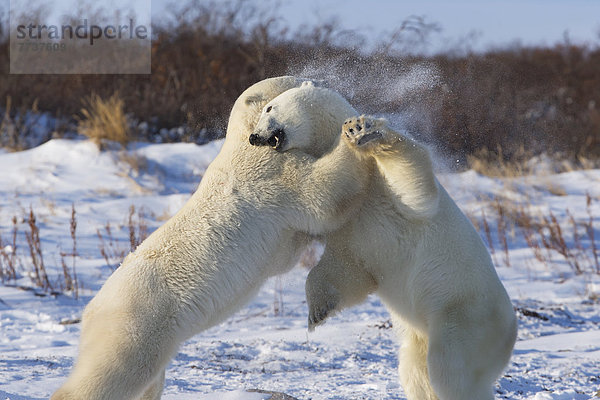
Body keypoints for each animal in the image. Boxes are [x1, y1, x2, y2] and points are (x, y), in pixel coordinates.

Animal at [52, 76, 370, 398]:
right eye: (270, 105)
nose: (258, 137)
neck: (243, 136)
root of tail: (91, 310)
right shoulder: (271, 172)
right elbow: (324, 193)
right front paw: (354, 134)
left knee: (147, 382)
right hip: (138, 320)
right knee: (116, 370)